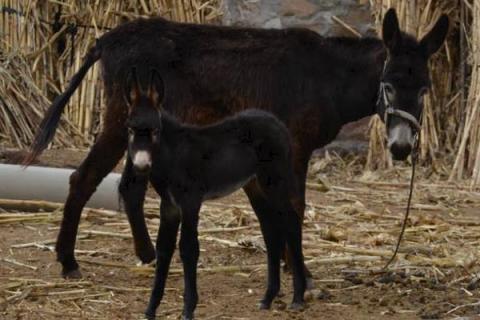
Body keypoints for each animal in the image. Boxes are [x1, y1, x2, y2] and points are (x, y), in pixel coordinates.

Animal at [119, 70, 308, 320]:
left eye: (156, 130)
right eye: (130, 129)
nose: (140, 166)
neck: (172, 153)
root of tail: (276, 122)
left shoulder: (190, 201)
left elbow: (188, 248)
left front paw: (188, 309)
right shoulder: (169, 205)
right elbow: (164, 249)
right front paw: (150, 309)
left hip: (274, 180)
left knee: (290, 220)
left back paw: (298, 297)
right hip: (255, 185)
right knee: (270, 229)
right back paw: (268, 297)